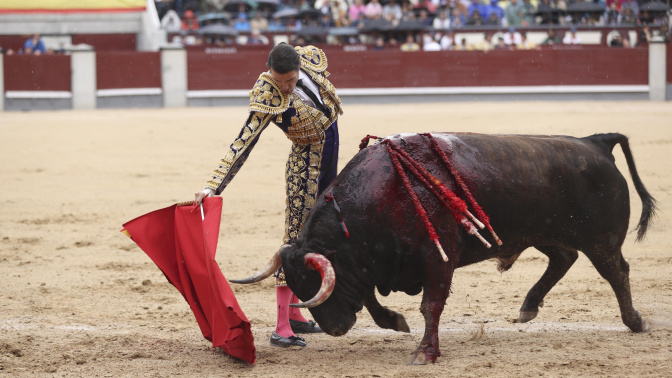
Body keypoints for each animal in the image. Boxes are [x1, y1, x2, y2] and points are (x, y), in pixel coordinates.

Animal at [232, 132, 656, 364]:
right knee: (563, 259)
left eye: (313, 286)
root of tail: (595, 143)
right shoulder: (371, 264)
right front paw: (395, 322)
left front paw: (425, 353)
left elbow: (430, 305)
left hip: (601, 241)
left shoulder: (437, 260)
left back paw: (635, 322)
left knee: (616, 272)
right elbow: (371, 298)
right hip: (546, 233)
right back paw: (528, 307)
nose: (335, 330)